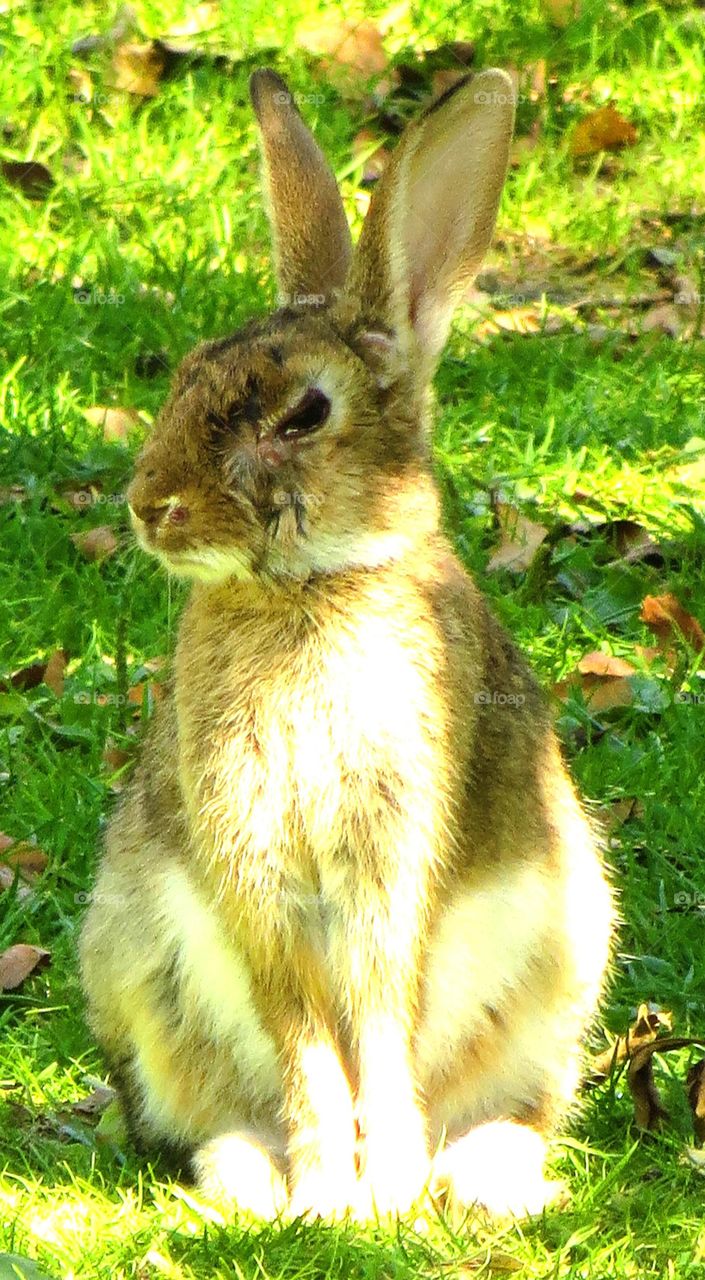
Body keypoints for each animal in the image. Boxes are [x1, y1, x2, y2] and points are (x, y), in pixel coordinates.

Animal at [79, 66, 615, 1223]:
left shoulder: (392, 846)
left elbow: (377, 1011)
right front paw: (330, 1191)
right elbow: (304, 1033)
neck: (311, 588)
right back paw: (254, 1179)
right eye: (187, 375)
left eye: (303, 415)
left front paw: (386, 1188)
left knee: (517, 1107)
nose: (151, 506)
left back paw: (468, 1177)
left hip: (561, 966)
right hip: (141, 968)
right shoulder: (249, 855)